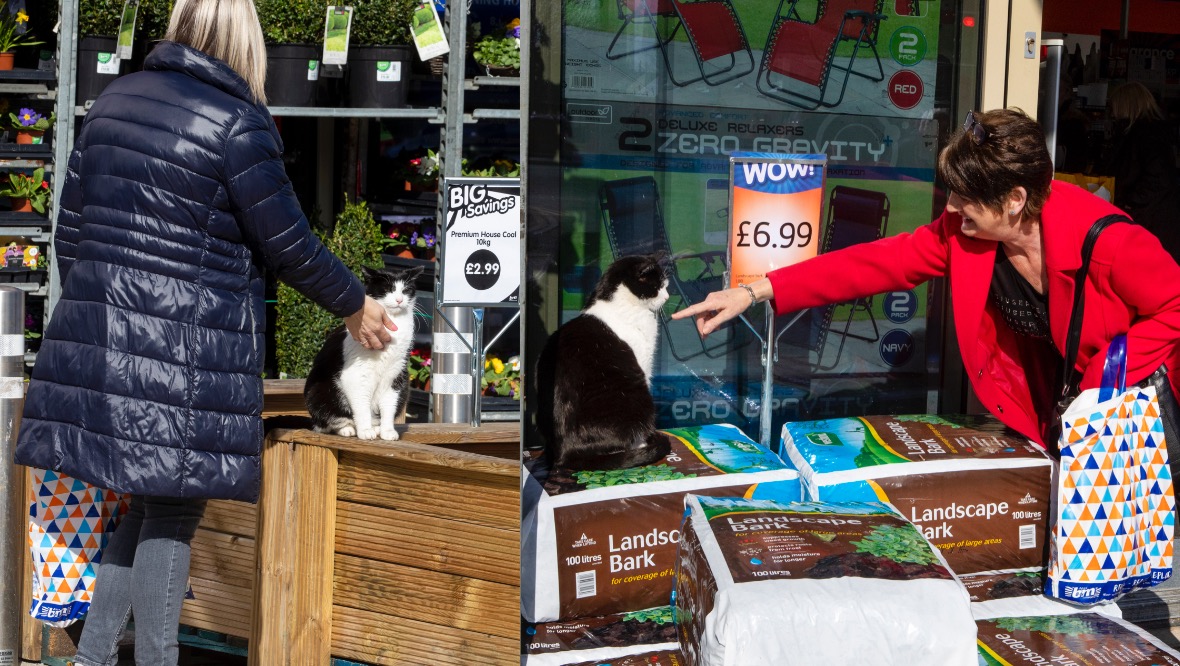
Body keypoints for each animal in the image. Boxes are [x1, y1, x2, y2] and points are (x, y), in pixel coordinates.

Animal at [304, 265, 424, 441]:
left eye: (406, 290)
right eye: (388, 288)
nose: (399, 300)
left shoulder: (395, 374)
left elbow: (389, 404)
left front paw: (387, 431)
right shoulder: (356, 375)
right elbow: (361, 405)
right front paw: (365, 431)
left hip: (405, 388)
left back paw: (376, 428)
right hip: (319, 392)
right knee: (328, 423)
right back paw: (348, 429)